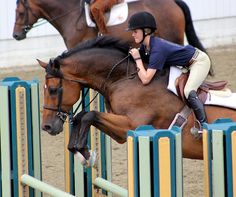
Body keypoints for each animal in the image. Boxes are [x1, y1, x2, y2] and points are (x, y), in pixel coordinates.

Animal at [37, 36, 235, 162]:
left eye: (53, 90)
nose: (46, 127)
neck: (123, 78)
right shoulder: (121, 132)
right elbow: (82, 116)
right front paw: (79, 151)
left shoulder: (132, 125)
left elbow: (89, 115)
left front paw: (85, 153)